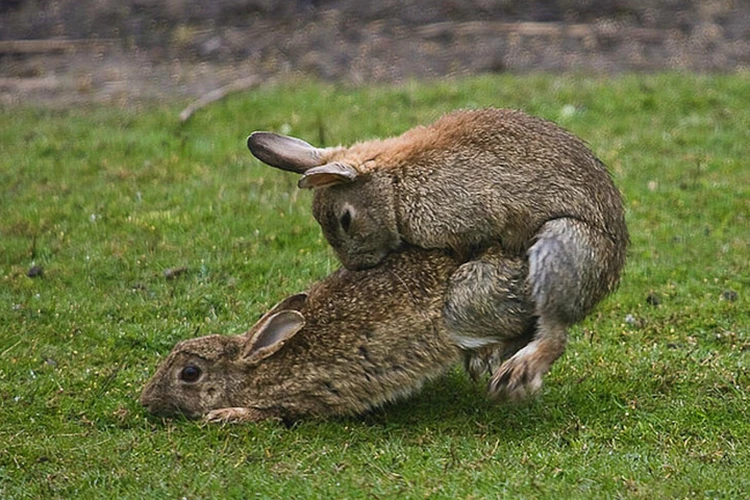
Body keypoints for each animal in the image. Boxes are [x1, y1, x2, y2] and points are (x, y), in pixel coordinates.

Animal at [250, 107, 632, 400]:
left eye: (345, 219)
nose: (358, 265)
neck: (395, 185)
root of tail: (610, 274)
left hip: (563, 245)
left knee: (553, 329)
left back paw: (515, 371)